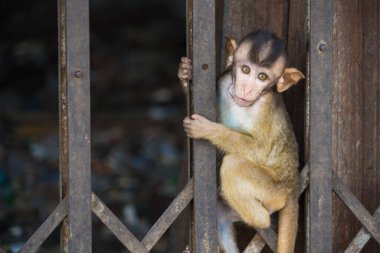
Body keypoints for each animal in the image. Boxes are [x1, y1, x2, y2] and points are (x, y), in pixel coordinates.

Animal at [178, 30, 306, 253]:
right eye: (245, 70)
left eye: (262, 77)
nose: (246, 89)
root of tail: (293, 186)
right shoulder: (223, 81)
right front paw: (186, 73)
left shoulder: (266, 106)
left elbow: (260, 150)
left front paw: (207, 129)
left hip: (275, 189)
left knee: (233, 165)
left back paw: (262, 219)